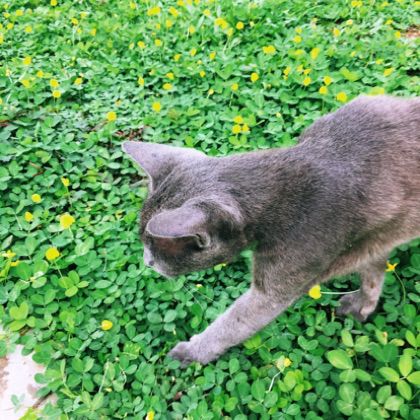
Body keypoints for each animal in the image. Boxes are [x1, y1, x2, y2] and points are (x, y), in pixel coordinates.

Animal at [122, 95, 420, 367]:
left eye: (154, 249)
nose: (146, 262)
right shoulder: (373, 241)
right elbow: (373, 273)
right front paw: (362, 305)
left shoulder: (279, 284)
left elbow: (234, 322)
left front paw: (192, 351)